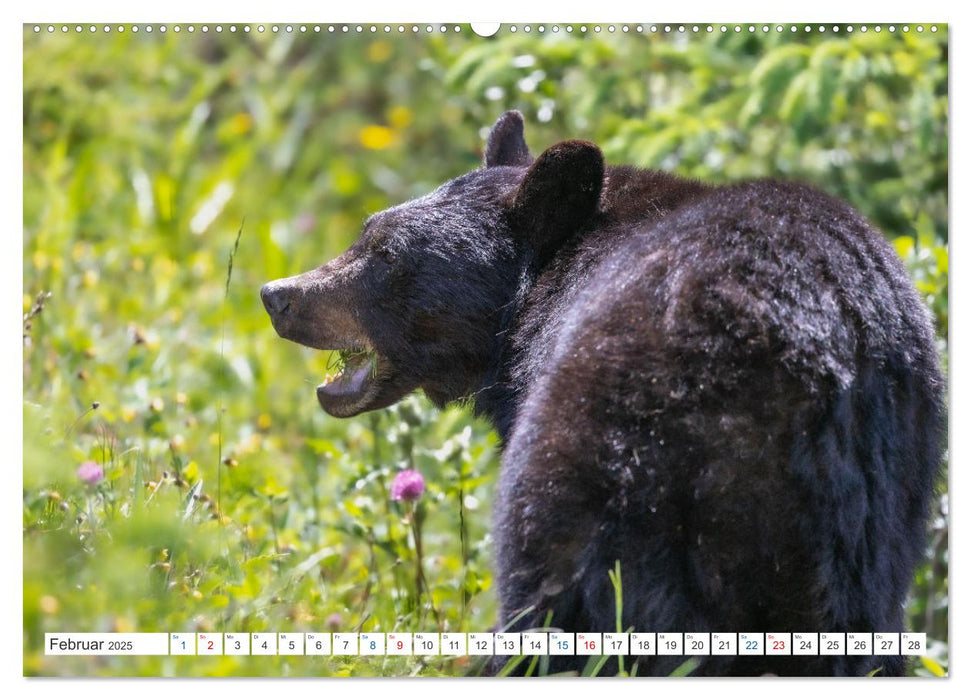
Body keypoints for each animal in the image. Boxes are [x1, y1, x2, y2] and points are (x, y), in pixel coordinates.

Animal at [262, 112, 944, 676]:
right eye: (366, 231)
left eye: (387, 255)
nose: (278, 294)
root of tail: (808, 339)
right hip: (879, 501)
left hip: (615, 448)